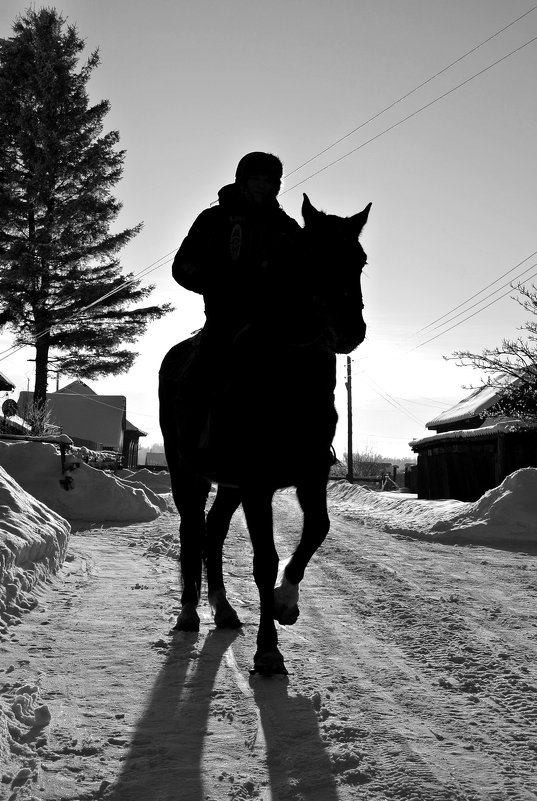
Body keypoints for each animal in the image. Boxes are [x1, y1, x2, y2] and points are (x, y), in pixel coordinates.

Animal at [157, 194, 370, 676]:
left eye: (360, 260)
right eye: (310, 256)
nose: (350, 331)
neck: (285, 381)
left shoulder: (309, 476)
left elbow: (317, 530)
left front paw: (285, 604)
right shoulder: (258, 485)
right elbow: (264, 561)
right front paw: (268, 650)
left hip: (229, 485)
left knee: (213, 532)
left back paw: (223, 608)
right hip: (188, 473)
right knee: (192, 530)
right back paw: (189, 612)